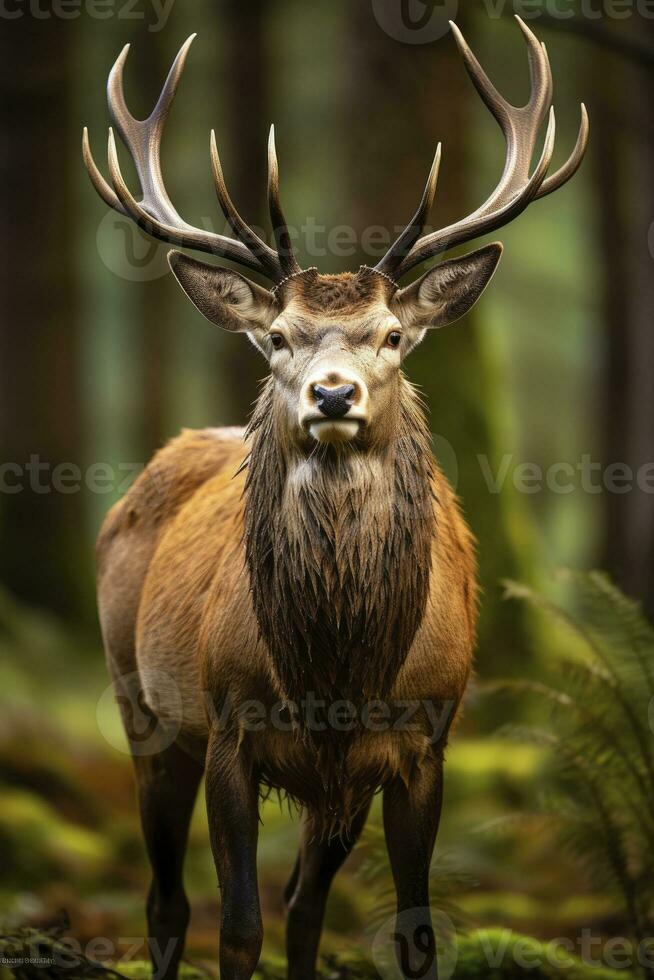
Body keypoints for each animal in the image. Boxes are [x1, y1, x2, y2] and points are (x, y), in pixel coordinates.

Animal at [83, 19, 588, 980]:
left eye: (391, 335)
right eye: (278, 337)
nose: (331, 394)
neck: (338, 668)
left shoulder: (424, 743)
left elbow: (409, 932)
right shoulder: (230, 726)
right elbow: (238, 929)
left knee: (303, 901)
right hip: (141, 704)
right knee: (167, 902)